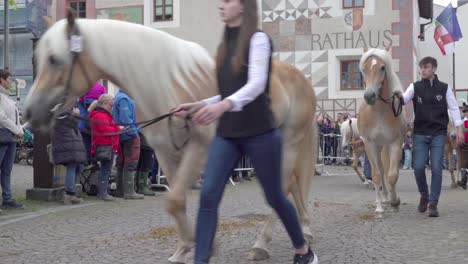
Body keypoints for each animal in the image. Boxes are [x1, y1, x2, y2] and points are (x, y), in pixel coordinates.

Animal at [24, 15, 318, 262]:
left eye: (54, 59)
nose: (30, 112)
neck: (167, 84)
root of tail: (300, 77)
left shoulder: (198, 148)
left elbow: (177, 199)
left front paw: (197, 246)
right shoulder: (166, 153)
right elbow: (177, 201)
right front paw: (188, 248)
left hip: (289, 142)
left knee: (282, 188)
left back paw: (264, 244)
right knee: (290, 185)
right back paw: (304, 230)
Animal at [358, 48, 406, 218]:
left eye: (382, 68)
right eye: (364, 69)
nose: (369, 96)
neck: (379, 113)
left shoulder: (396, 142)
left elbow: (392, 175)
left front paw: (395, 202)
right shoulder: (369, 143)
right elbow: (377, 175)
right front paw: (379, 208)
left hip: (385, 146)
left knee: (387, 170)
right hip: (378, 147)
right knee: (380, 168)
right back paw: (383, 198)